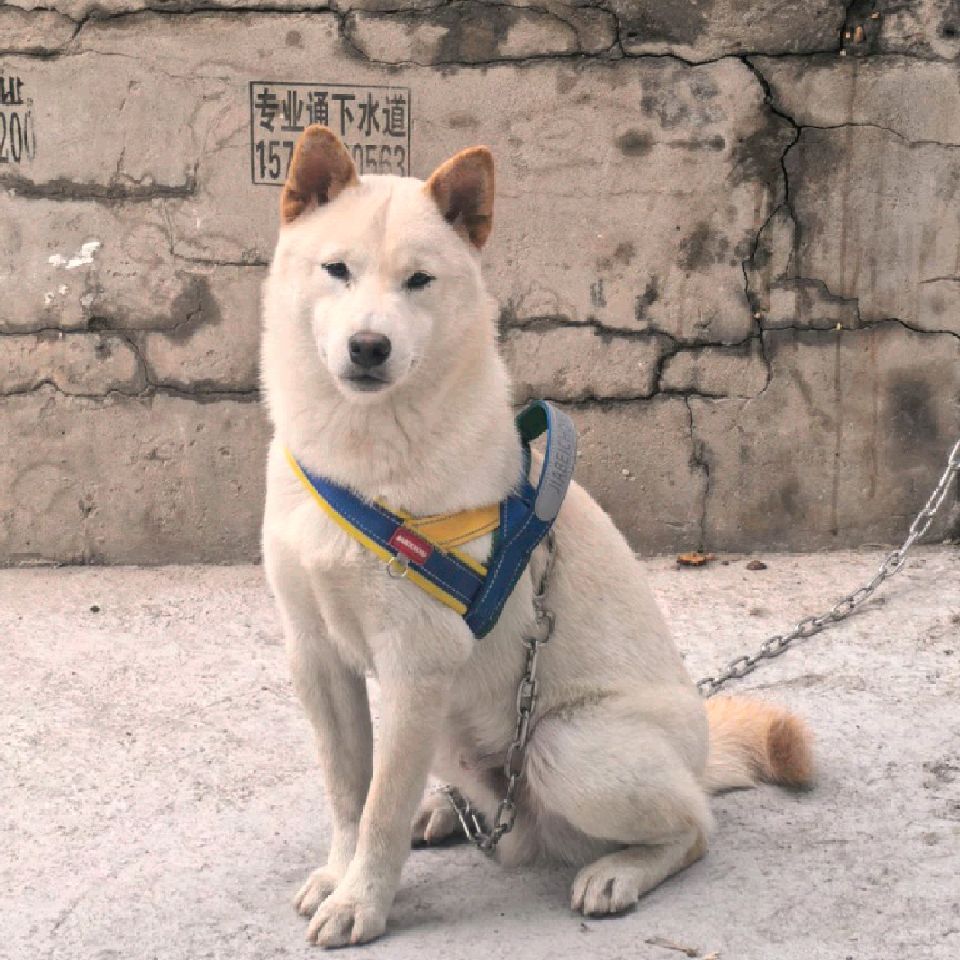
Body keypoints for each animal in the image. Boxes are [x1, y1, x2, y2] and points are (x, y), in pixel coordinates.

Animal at [260, 125, 813, 948]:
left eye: (418, 281)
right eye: (337, 270)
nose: (368, 346)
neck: (361, 456)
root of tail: (698, 753)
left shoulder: (416, 665)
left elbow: (381, 808)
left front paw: (363, 899)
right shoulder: (316, 656)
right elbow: (348, 792)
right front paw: (339, 872)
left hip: (562, 748)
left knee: (695, 826)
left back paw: (619, 871)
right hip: (463, 735)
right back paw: (448, 810)